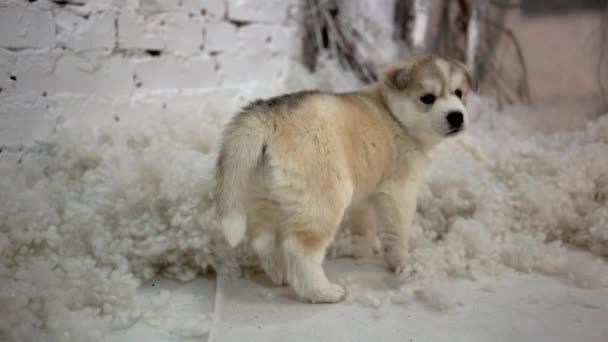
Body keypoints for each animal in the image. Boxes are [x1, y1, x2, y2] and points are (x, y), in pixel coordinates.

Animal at [214, 52, 476, 304]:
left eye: (459, 93)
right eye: (428, 98)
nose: (456, 116)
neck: (393, 117)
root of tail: (271, 114)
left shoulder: (367, 193)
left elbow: (364, 224)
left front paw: (364, 247)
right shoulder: (399, 191)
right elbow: (397, 232)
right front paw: (403, 263)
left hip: (264, 195)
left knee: (263, 238)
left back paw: (280, 274)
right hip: (324, 200)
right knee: (299, 249)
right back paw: (323, 292)